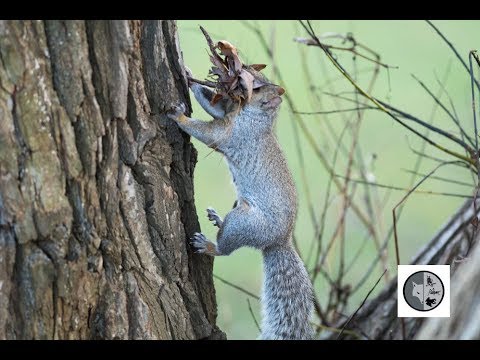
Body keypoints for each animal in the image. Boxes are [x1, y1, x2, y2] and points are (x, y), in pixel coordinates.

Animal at [166, 67, 316, 340]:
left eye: (257, 87)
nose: (236, 74)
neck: (258, 117)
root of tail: (279, 240)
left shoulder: (235, 132)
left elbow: (211, 133)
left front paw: (179, 116)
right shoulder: (228, 111)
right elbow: (213, 105)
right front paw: (190, 76)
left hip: (244, 222)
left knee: (225, 249)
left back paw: (209, 245)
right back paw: (217, 219)